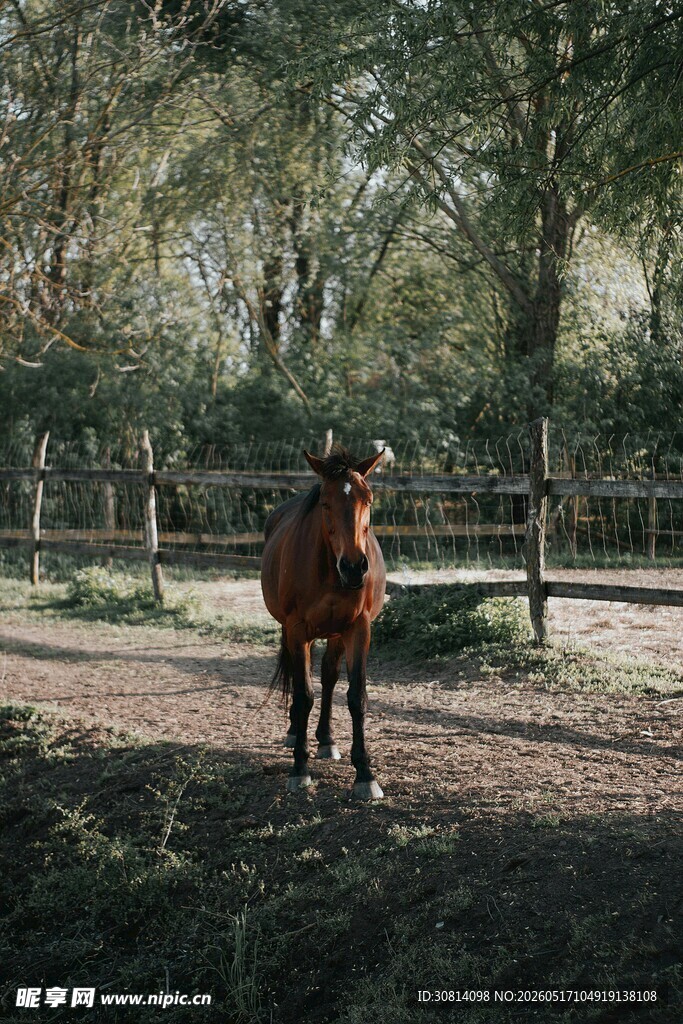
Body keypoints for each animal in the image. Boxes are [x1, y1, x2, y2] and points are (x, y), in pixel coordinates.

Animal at [261, 446, 387, 799]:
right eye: (326, 503)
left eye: (368, 500)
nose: (355, 567)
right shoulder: (297, 629)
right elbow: (304, 695)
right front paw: (299, 768)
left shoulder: (358, 629)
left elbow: (356, 696)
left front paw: (365, 774)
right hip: (291, 630)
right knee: (297, 677)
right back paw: (295, 733)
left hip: (336, 632)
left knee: (329, 676)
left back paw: (326, 740)